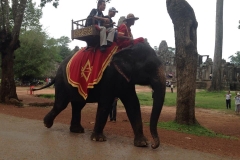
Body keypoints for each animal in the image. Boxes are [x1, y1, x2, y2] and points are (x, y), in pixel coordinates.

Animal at [33, 42, 165, 149]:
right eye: (149, 67)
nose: (153, 145)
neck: (127, 46)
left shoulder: (125, 79)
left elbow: (133, 104)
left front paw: (142, 144)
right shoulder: (109, 77)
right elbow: (105, 103)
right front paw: (98, 139)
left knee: (78, 105)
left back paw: (77, 130)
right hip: (62, 80)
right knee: (61, 104)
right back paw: (47, 124)